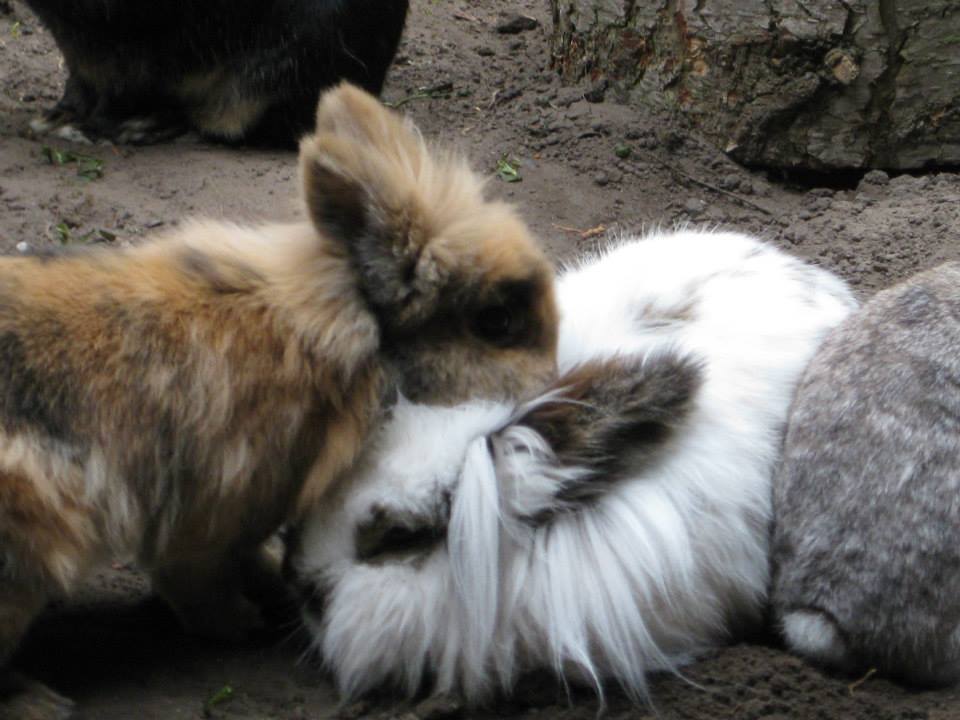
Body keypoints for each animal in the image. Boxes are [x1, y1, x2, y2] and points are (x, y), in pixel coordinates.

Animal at [0, 82, 558, 719]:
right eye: (496, 322)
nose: (555, 377)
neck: (354, 349)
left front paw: (268, 577)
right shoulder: (211, 513)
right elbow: (194, 582)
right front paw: (243, 623)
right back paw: (39, 701)